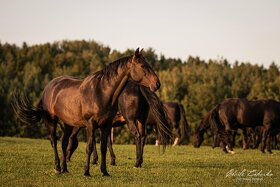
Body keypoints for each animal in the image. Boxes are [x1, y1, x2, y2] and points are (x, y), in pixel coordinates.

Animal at [11, 48, 164, 177]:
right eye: (142, 65)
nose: (157, 84)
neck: (101, 92)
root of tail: (49, 87)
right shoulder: (90, 124)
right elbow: (90, 146)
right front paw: (87, 171)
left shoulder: (105, 125)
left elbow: (103, 147)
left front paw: (104, 171)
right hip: (53, 121)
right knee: (54, 141)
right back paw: (58, 167)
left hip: (69, 123)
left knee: (63, 142)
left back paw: (65, 168)